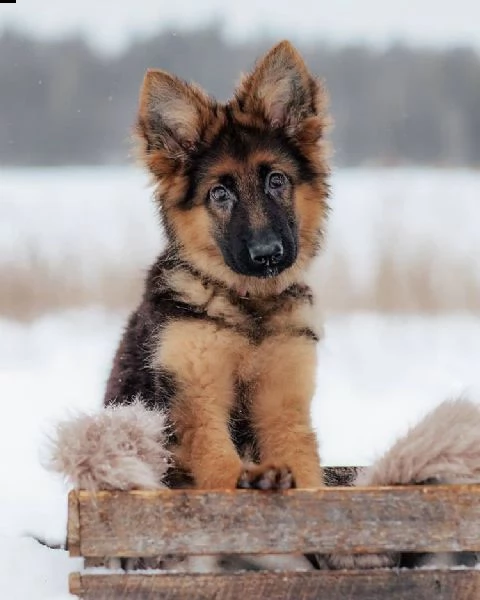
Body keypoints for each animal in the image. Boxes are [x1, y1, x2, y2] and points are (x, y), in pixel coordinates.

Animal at [104, 42, 330, 492]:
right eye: (220, 194)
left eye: (276, 180)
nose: (267, 254)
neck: (247, 305)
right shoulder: (194, 397)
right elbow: (217, 462)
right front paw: (250, 478)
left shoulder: (283, 403)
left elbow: (305, 467)